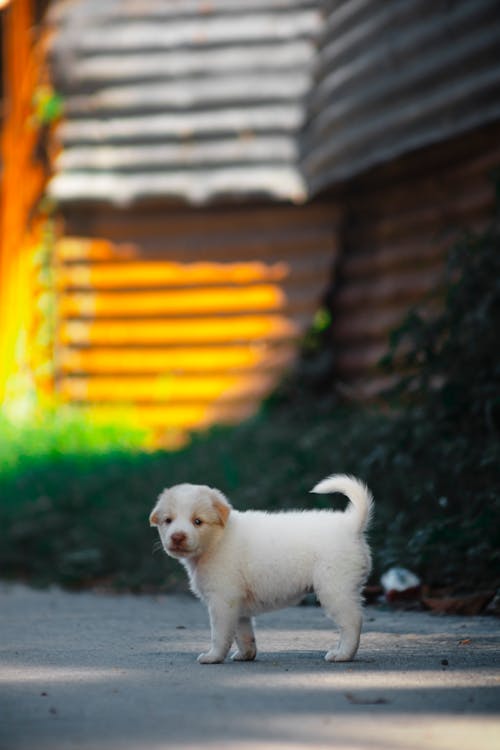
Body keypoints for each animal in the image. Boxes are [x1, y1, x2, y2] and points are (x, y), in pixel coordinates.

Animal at [150, 476, 374, 664]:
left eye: (197, 521)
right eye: (168, 520)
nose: (177, 537)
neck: (217, 540)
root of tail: (351, 525)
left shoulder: (222, 601)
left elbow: (220, 635)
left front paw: (213, 656)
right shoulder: (237, 606)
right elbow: (243, 634)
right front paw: (245, 655)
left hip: (335, 589)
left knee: (352, 621)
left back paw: (342, 654)